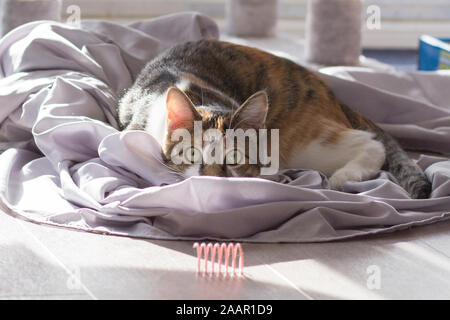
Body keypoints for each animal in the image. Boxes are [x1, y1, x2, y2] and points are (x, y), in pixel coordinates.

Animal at [118, 40, 432, 199]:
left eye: (234, 157)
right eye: (192, 154)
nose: (211, 179)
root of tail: (327, 90)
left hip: (301, 141)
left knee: (371, 143)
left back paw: (343, 176)